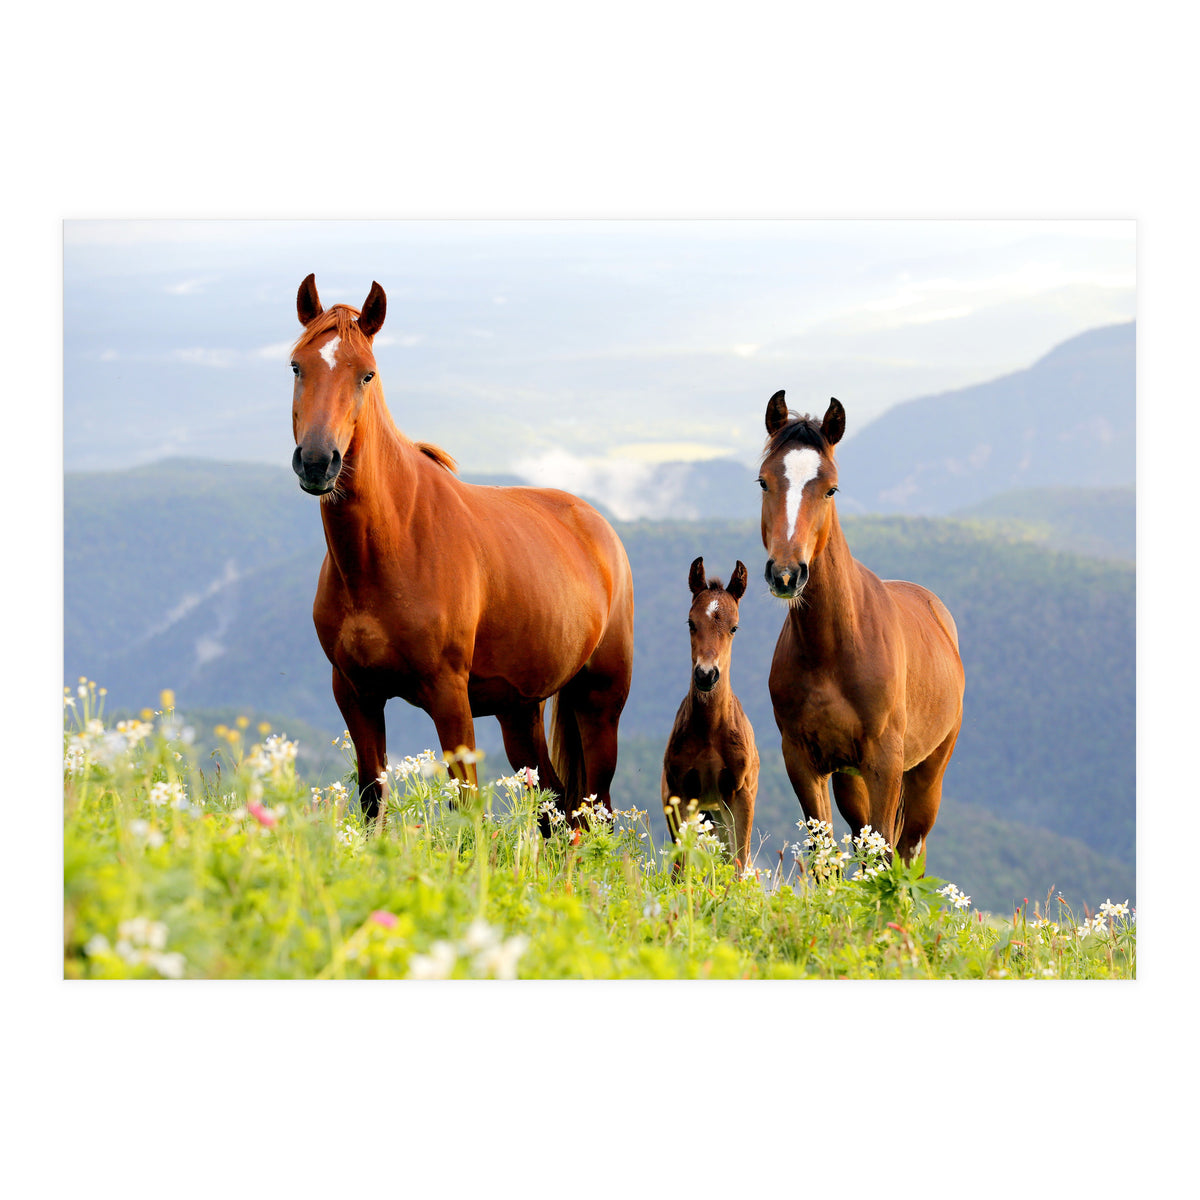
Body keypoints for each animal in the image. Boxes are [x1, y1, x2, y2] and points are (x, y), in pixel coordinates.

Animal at [289, 274, 635, 825]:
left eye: (366, 375)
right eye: (298, 365)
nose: (319, 462)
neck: (388, 549)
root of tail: (600, 528)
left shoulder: (449, 696)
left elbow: (468, 807)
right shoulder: (355, 694)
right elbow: (371, 799)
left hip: (599, 702)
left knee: (592, 809)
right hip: (520, 711)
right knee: (556, 807)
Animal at [661, 557, 759, 874]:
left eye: (734, 627)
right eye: (691, 622)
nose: (706, 674)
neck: (710, 731)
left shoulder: (740, 794)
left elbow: (739, 863)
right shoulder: (679, 793)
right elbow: (681, 865)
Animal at [758, 391, 964, 865]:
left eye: (831, 488)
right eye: (763, 482)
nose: (786, 574)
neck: (832, 649)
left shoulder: (884, 763)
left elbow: (887, 852)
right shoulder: (804, 762)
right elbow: (824, 854)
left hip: (927, 773)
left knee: (909, 848)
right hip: (850, 779)